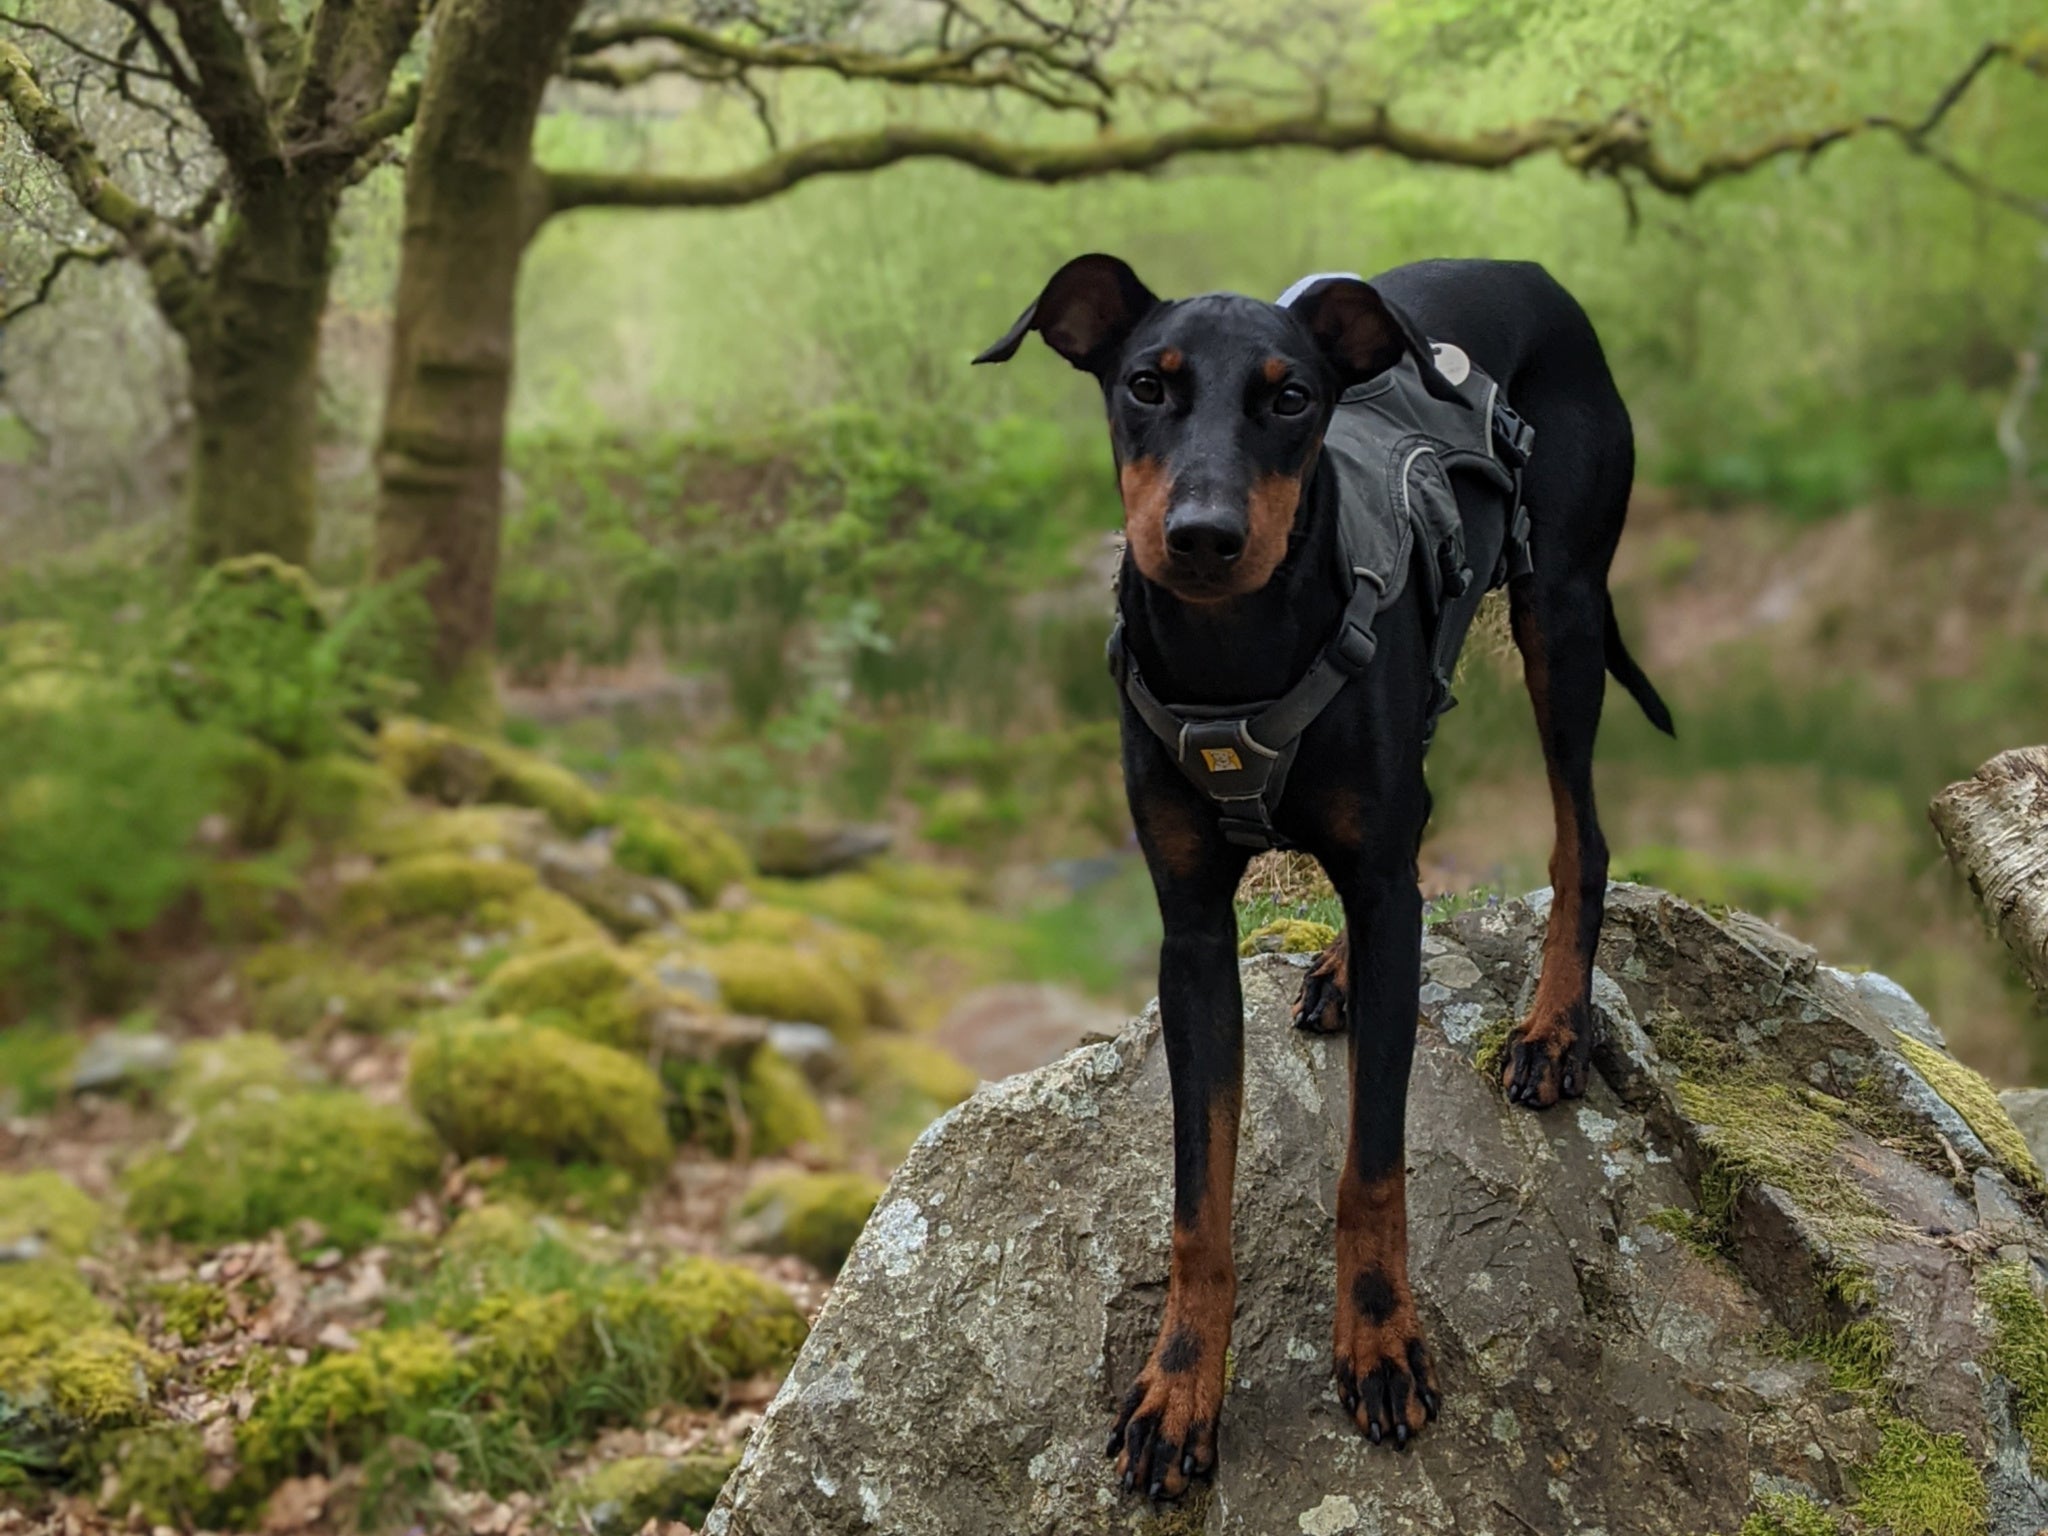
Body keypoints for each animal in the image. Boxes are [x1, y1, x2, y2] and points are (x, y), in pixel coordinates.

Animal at [978, 256, 1679, 1507]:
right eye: (1145, 385)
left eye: (1290, 397)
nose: (1201, 537)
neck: (1231, 656)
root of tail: (1526, 268)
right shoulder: (1192, 935)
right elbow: (1196, 1204)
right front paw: (1178, 1390)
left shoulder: (1378, 894)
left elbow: (1372, 1167)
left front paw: (1380, 1341)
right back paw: (1354, 965)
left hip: (1559, 614)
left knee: (1577, 839)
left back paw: (1551, 1030)